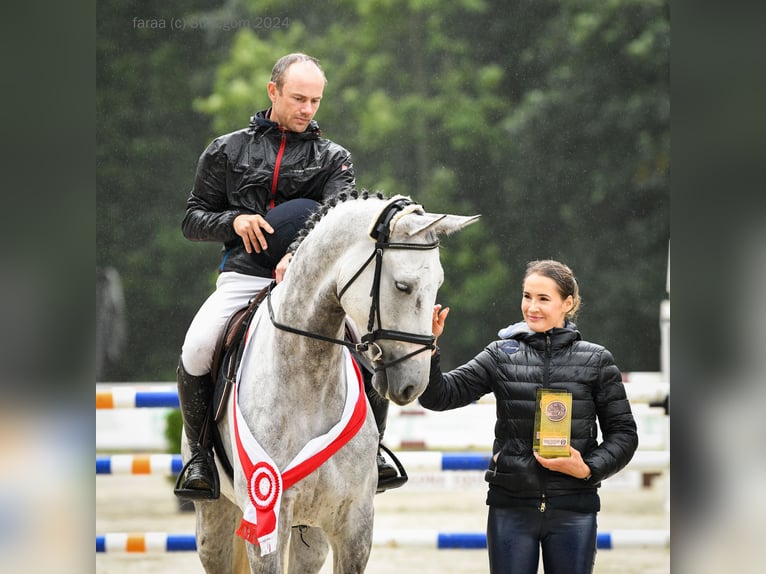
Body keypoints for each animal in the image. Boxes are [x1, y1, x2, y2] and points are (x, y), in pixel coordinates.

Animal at [183, 195, 476, 574]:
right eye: (402, 286)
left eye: (437, 283)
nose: (413, 384)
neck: (310, 378)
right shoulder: (269, 522)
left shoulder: (354, 525)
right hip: (214, 521)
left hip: (312, 534)